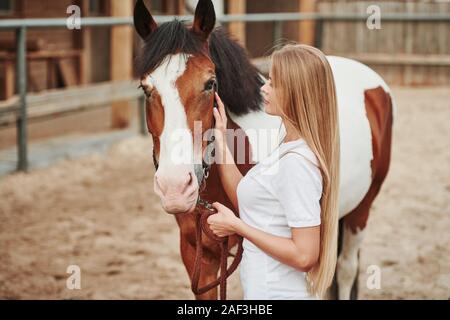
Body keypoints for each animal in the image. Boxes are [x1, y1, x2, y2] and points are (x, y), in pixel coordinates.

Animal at [132, 0, 392, 300]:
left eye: (210, 83)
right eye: (145, 88)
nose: (174, 187)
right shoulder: (199, 255)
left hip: (361, 211)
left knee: (346, 269)